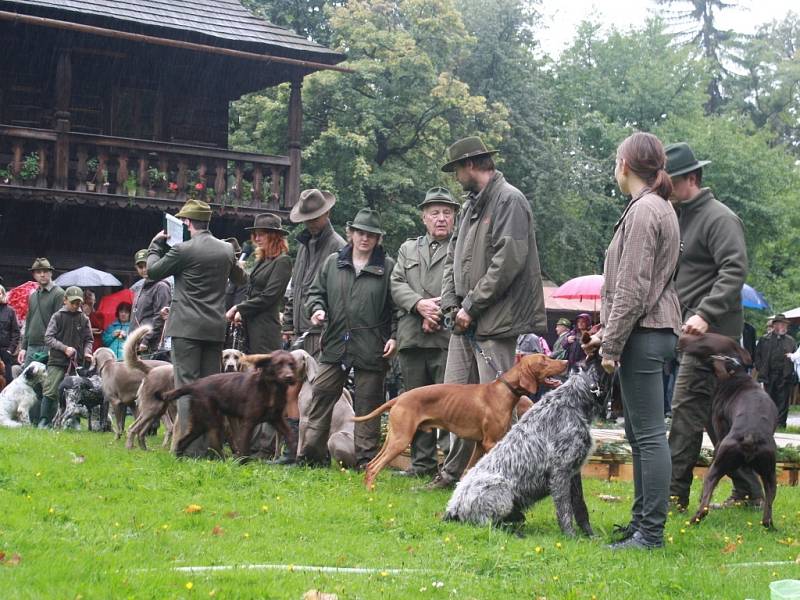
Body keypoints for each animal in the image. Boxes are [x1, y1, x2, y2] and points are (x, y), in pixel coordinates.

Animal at [162, 352, 296, 460]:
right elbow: (244, 447)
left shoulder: (277, 419)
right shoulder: (248, 422)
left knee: (183, 441)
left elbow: (291, 437)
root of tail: (195, 385)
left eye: (291, 364)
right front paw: (242, 462)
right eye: (278, 364)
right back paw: (224, 460)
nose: (289, 377)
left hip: (200, 423)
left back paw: (179, 458)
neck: (271, 388)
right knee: (214, 443)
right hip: (212, 419)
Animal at [356, 354, 568, 490]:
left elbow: (469, 470)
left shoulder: (480, 444)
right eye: (544, 359)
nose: (566, 361)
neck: (505, 390)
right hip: (401, 440)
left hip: (393, 437)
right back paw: (370, 492)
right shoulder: (490, 442)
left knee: (370, 464)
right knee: (374, 466)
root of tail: (399, 398)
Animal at [446, 352, 608, 536]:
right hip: (500, 490)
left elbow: (581, 507)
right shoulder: (560, 472)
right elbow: (565, 510)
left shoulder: (573, 473)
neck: (571, 402)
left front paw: (589, 535)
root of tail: (453, 508)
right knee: (489, 525)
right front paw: (570, 536)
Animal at [680, 332, 780, 528]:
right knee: (768, 509)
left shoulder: (718, 435)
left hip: (717, 467)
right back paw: (769, 525)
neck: (735, 371)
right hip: (770, 473)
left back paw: (693, 520)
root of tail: (750, 436)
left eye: (702, 338)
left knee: (705, 503)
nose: (681, 337)